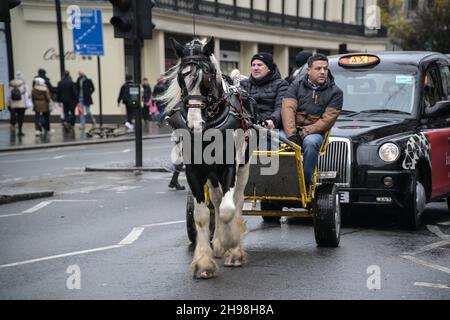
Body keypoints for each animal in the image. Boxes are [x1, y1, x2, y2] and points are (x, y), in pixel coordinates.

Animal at [162, 37, 260, 278]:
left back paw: (232, 245)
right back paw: (217, 244)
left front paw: (231, 244)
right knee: (216, 199)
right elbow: (203, 214)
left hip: (243, 166)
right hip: (212, 174)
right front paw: (204, 262)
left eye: (206, 76)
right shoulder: (194, 170)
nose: (194, 124)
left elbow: (227, 210)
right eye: (181, 78)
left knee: (236, 200)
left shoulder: (230, 166)